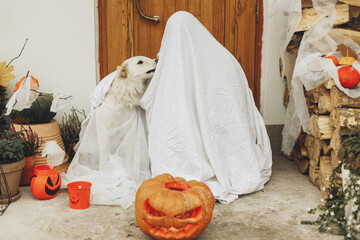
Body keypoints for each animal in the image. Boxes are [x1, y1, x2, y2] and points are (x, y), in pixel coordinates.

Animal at [63, 56, 156, 208]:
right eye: (140, 62)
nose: (156, 59)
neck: (121, 102)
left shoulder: (129, 134)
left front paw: (130, 177)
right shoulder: (105, 136)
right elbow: (105, 161)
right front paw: (106, 177)